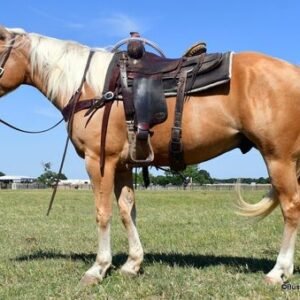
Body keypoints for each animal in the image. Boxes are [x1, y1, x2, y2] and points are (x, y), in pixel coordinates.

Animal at [0, 24, 300, 284]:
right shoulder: (122, 165)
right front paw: (132, 264)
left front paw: (98, 268)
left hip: (279, 159)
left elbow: (103, 212)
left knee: (291, 208)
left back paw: (279, 272)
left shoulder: (99, 161)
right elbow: (126, 210)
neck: (90, 88)